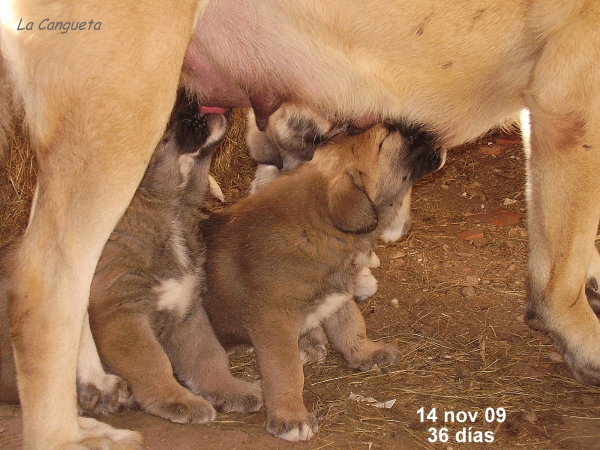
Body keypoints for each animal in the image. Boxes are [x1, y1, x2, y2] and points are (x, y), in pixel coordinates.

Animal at [85, 90, 262, 426]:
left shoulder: (187, 308)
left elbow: (207, 355)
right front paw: (177, 401)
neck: (171, 211)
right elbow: (152, 363)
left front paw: (229, 389)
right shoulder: (122, 317)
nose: (193, 95)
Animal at [202, 121, 446, 442]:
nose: (429, 127)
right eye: (385, 139)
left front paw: (366, 352)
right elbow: (286, 371)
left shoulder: (337, 295)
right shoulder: (273, 322)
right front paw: (291, 417)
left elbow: (351, 325)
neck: (318, 228)